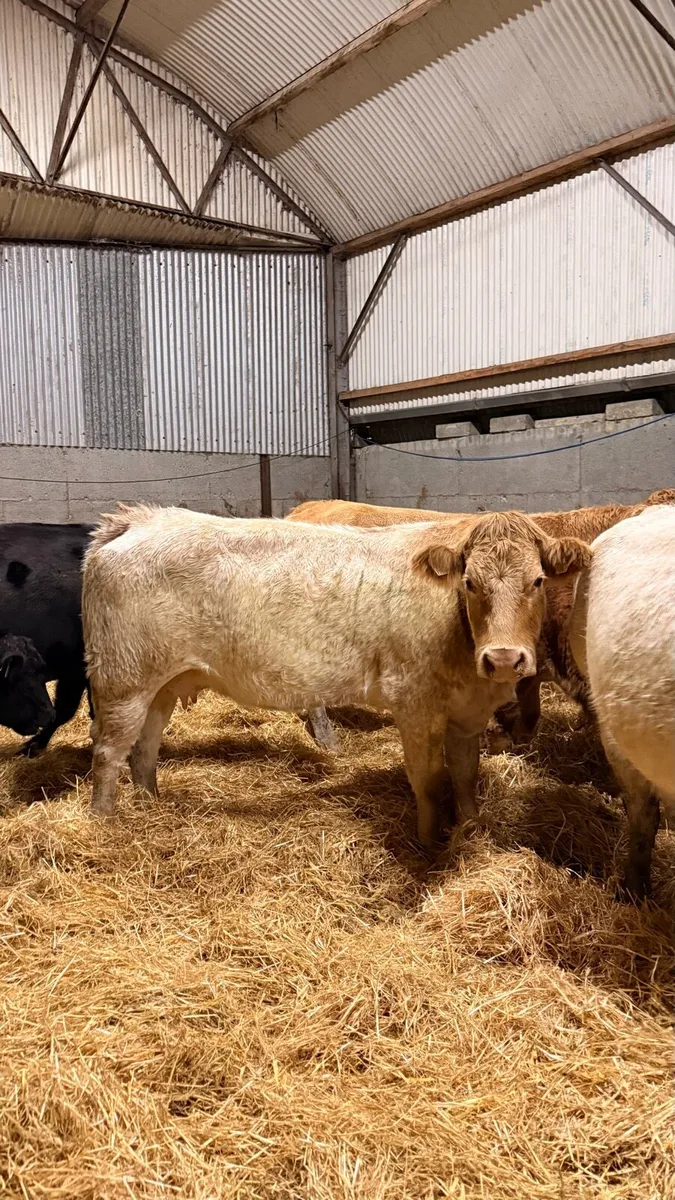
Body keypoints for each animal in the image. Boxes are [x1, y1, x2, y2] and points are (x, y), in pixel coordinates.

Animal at [82, 504, 590, 841]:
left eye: (538, 581)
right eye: (469, 583)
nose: (503, 659)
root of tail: (141, 519)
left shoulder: (466, 713)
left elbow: (465, 775)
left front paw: (471, 828)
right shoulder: (414, 702)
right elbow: (429, 781)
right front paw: (428, 844)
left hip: (162, 682)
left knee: (144, 747)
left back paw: (151, 804)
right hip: (123, 678)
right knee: (108, 751)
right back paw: (104, 823)